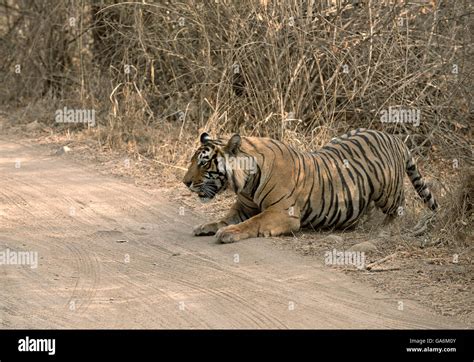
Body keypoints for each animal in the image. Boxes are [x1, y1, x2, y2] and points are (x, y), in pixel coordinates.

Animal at [183, 127, 438, 243]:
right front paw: (206, 226)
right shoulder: (244, 206)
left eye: (204, 163)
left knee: (400, 206)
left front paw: (228, 232)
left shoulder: (282, 213)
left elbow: (252, 223)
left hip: (388, 192)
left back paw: (385, 227)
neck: (247, 180)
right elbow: (224, 218)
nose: (185, 182)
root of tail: (394, 137)